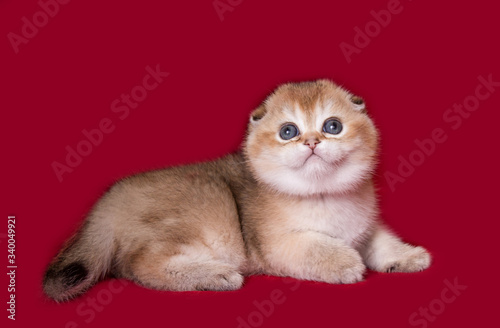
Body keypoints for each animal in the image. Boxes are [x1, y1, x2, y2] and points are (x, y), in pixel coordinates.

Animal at [45, 79, 432, 302]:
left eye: (332, 126)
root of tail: (107, 202)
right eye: (288, 131)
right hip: (201, 210)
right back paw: (212, 274)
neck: (323, 196)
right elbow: (317, 247)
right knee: (139, 264)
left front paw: (407, 256)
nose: (311, 141)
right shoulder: (278, 245)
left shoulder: (365, 228)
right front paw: (345, 262)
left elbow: (382, 243)